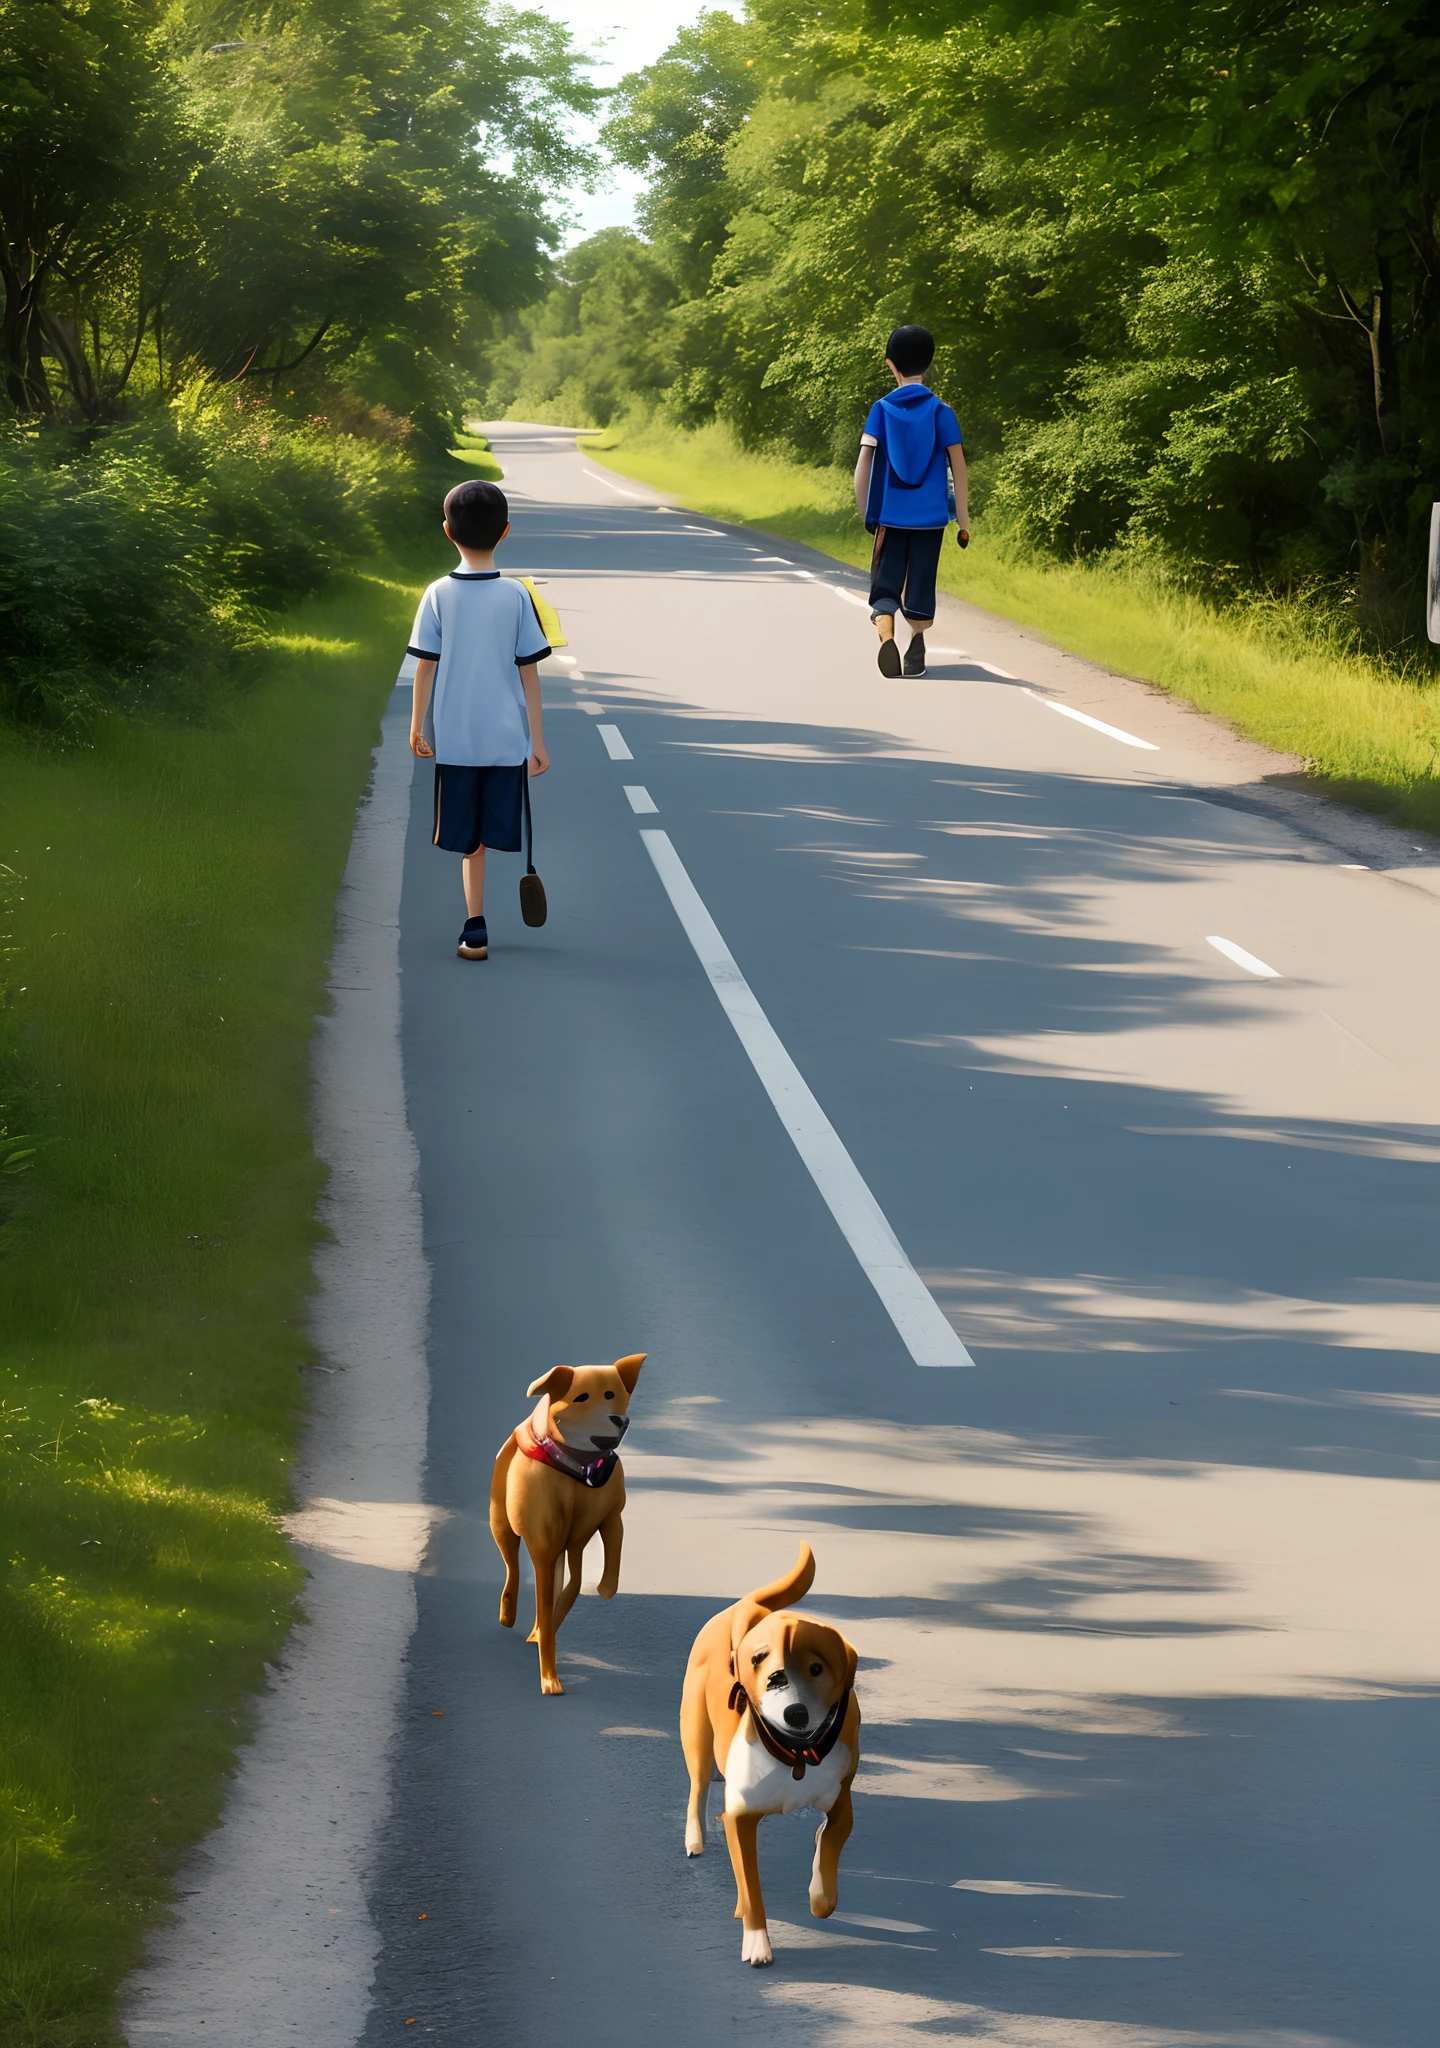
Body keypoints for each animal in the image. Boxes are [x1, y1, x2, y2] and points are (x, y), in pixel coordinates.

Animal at [495, 1359, 647, 1695]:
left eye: (612, 1394)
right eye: (582, 1397)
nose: (619, 1420)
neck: (580, 1469)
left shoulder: (610, 1518)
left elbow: (608, 1564)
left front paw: (603, 1589)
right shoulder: (543, 1548)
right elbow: (543, 1597)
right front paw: (549, 1678)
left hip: (571, 1545)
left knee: (571, 1581)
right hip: (501, 1524)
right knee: (512, 1566)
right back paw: (508, 1614)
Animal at [675, 1540, 856, 1957]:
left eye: (816, 1668)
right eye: (763, 1666)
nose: (795, 1712)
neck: (796, 1755)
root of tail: (746, 1607)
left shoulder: (841, 1801)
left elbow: (829, 1845)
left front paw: (821, 1896)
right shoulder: (742, 1819)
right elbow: (751, 1886)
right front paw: (757, 1945)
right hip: (696, 1735)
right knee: (697, 1787)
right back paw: (695, 1839)